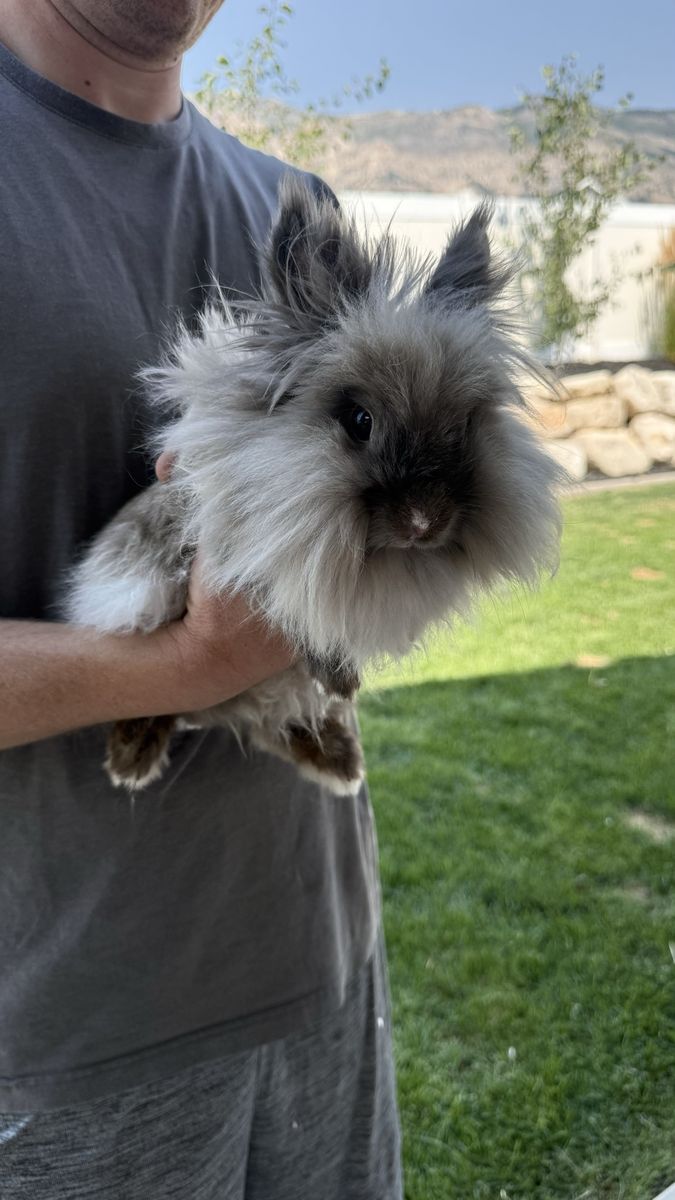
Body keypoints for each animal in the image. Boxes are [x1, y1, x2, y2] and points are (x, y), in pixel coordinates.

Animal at [64, 176, 563, 795]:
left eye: (468, 424)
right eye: (358, 421)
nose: (425, 522)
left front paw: (344, 688)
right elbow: (293, 606)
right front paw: (341, 678)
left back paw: (337, 762)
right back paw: (131, 760)